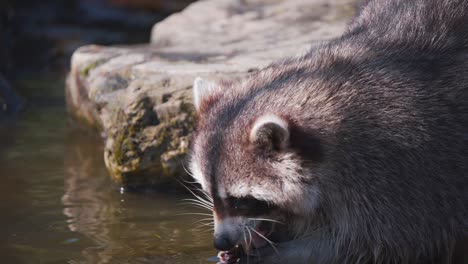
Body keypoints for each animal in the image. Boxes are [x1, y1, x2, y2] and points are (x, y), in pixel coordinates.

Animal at [188, 0, 466, 262]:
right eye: (208, 192)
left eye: (241, 200)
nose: (220, 241)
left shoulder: (399, 171)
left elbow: (370, 245)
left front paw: (283, 252)